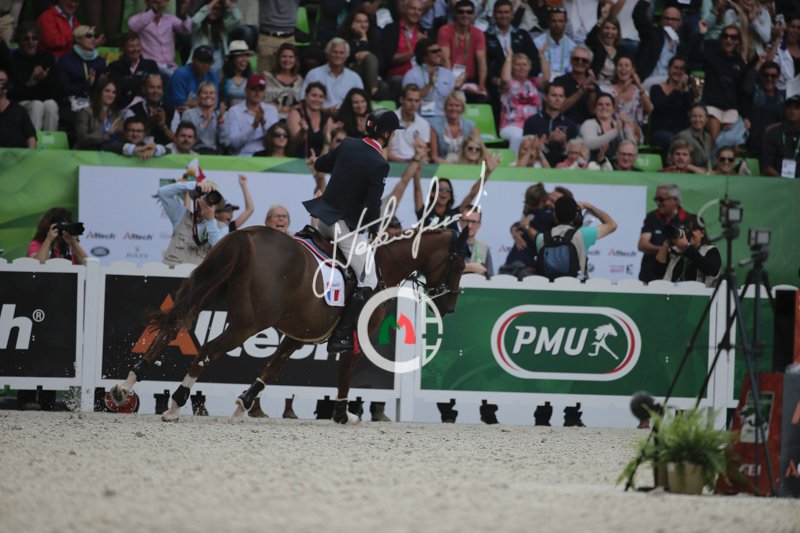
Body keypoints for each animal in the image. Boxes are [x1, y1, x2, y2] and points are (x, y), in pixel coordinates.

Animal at [110, 224, 469, 423]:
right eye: (461, 263)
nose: (449, 306)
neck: (383, 268)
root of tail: (246, 235)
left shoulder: (298, 336)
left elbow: (272, 368)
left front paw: (243, 405)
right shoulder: (354, 339)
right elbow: (344, 375)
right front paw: (343, 415)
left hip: (207, 292)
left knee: (171, 328)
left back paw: (125, 386)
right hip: (249, 322)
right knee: (208, 350)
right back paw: (175, 404)